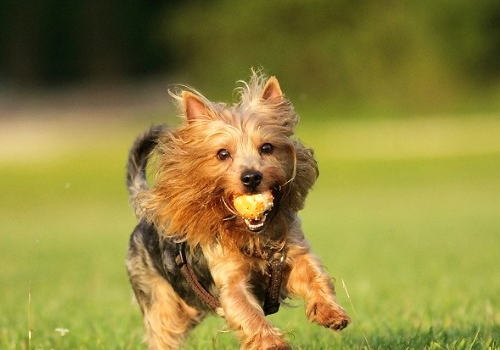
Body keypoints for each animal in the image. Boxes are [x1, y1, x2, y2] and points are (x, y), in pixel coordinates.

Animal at [127, 72, 350, 350]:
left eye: (267, 147)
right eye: (223, 154)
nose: (251, 177)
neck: (254, 233)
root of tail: (145, 216)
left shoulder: (292, 254)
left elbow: (314, 275)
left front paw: (330, 312)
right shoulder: (230, 279)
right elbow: (247, 312)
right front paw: (271, 343)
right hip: (159, 296)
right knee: (162, 329)